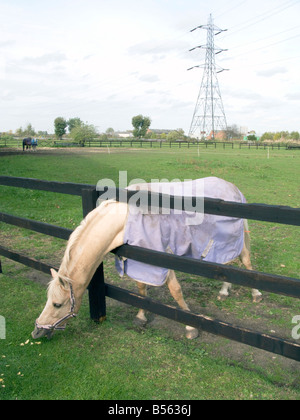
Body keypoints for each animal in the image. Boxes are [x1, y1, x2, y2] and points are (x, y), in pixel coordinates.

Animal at [31, 177, 262, 342]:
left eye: (58, 304)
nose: (37, 331)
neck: (125, 219)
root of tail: (231, 186)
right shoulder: (136, 261)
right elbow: (141, 289)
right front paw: (141, 317)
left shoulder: (162, 259)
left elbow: (176, 291)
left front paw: (190, 328)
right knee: (227, 263)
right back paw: (224, 291)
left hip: (235, 237)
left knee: (245, 261)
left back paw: (256, 294)